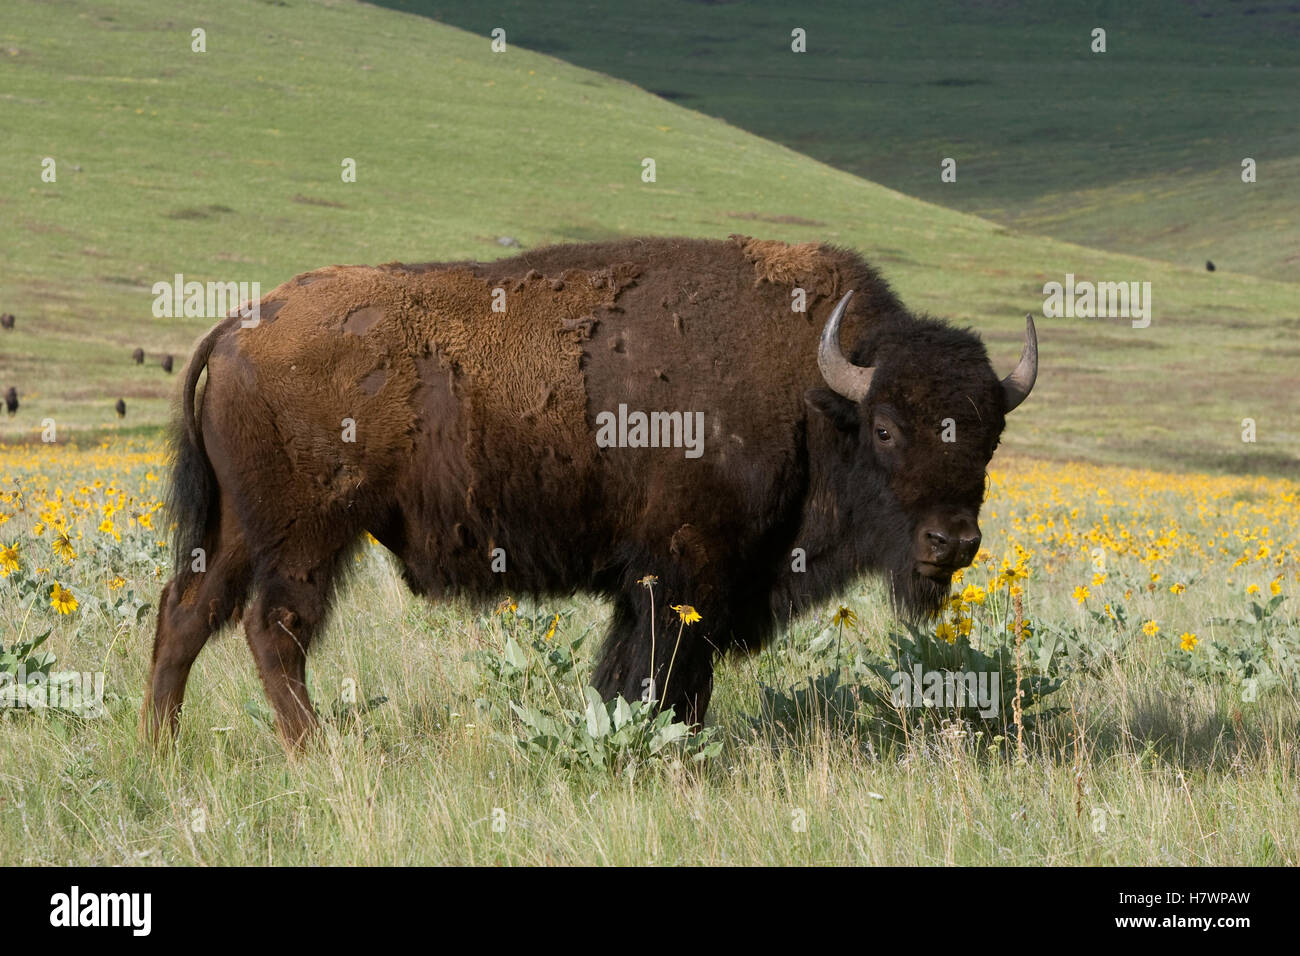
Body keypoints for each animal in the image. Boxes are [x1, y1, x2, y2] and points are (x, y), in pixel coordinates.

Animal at [141, 235, 1036, 748]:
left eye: (989, 432)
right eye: (885, 428)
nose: (952, 541)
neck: (811, 394)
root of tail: (239, 326)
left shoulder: (666, 583)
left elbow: (654, 676)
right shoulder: (684, 572)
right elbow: (664, 674)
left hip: (238, 531)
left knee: (185, 614)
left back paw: (161, 750)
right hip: (307, 535)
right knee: (274, 629)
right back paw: (317, 753)